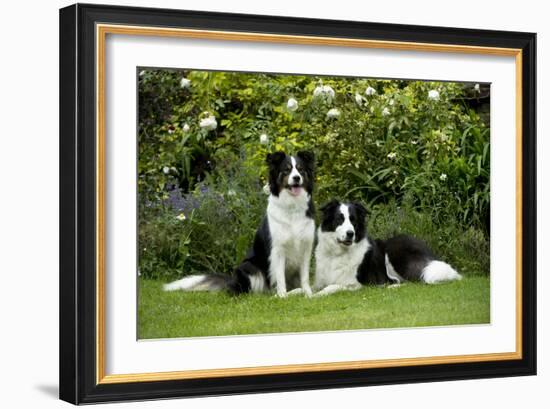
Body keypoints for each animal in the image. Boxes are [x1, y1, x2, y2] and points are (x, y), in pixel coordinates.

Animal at [165, 151, 314, 296]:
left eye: (300, 169)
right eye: (286, 170)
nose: (296, 178)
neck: (292, 206)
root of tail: (231, 280)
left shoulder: (306, 248)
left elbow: (305, 277)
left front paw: (309, 294)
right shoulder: (277, 250)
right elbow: (280, 277)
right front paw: (283, 296)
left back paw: (297, 291)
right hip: (249, 267)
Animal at [314, 199, 462, 294]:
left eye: (353, 220)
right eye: (339, 219)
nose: (350, 234)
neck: (337, 253)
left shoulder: (357, 284)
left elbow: (332, 287)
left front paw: (317, 295)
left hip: (394, 251)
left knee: (417, 281)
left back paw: (392, 287)